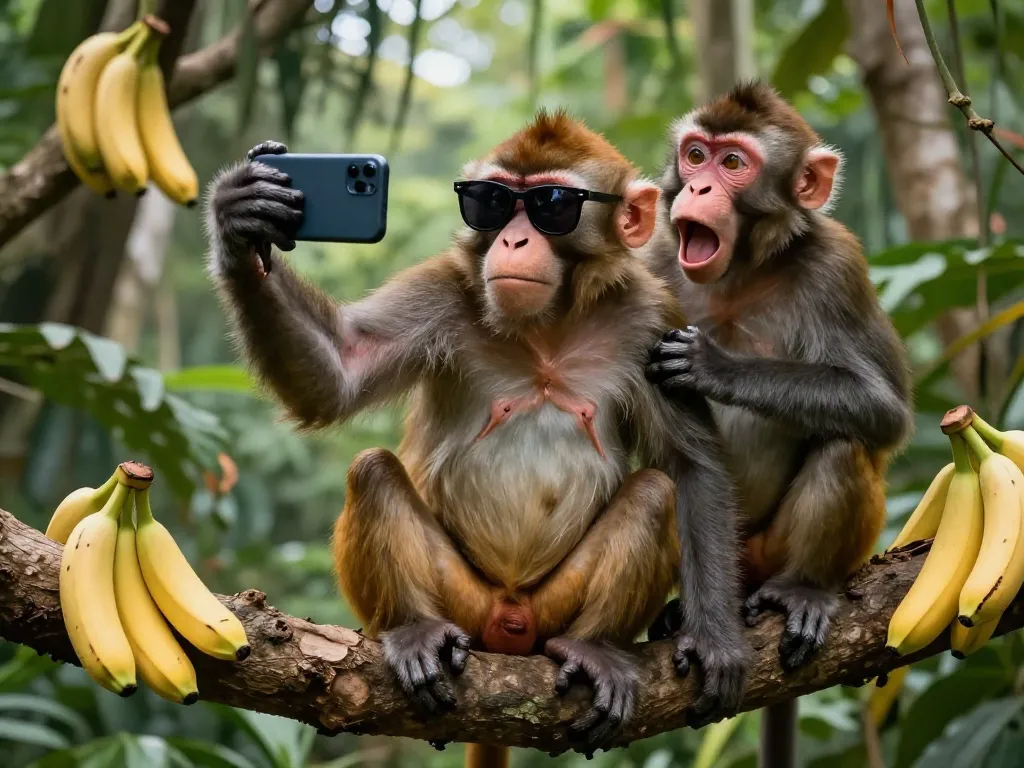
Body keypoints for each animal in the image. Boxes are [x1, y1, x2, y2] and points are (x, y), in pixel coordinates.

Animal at [204, 112, 749, 762]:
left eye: (551, 204)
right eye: (492, 201)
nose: (512, 240)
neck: (547, 325)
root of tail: (507, 624)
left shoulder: (651, 317)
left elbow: (691, 466)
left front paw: (715, 638)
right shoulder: (443, 289)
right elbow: (340, 374)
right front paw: (240, 222)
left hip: (550, 609)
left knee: (652, 493)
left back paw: (596, 647)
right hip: (464, 600)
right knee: (373, 472)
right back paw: (414, 631)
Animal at [643, 81, 913, 767]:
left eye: (733, 164)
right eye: (695, 154)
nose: (697, 187)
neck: (738, 275)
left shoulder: (837, 265)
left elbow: (885, 411)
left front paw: (714, 366)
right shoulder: (653, 259)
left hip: (778, 550)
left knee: (845, 442)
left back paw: (803, 592)